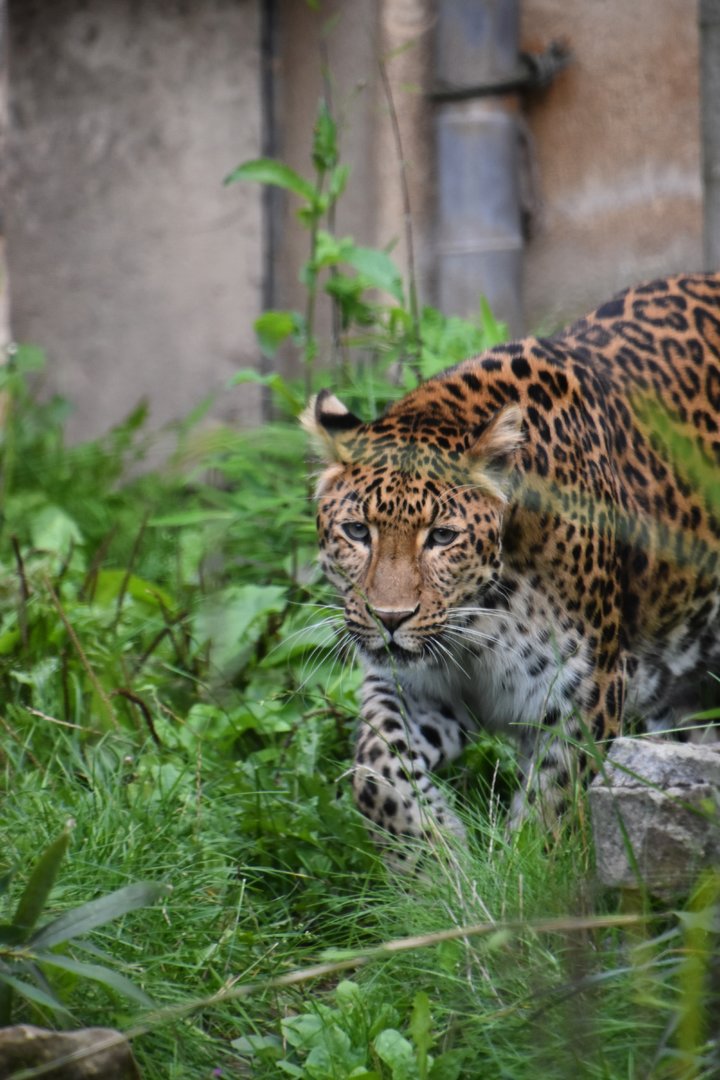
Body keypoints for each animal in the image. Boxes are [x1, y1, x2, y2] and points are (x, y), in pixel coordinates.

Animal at [301, 272, 720, 854]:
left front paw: (525, 866)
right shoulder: (414, 686)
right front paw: (437, 856)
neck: (484, 618)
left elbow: (553, 811)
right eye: (358, 531)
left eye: (443, 537)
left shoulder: (585, 692)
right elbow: (375, 769)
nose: (390, 618)